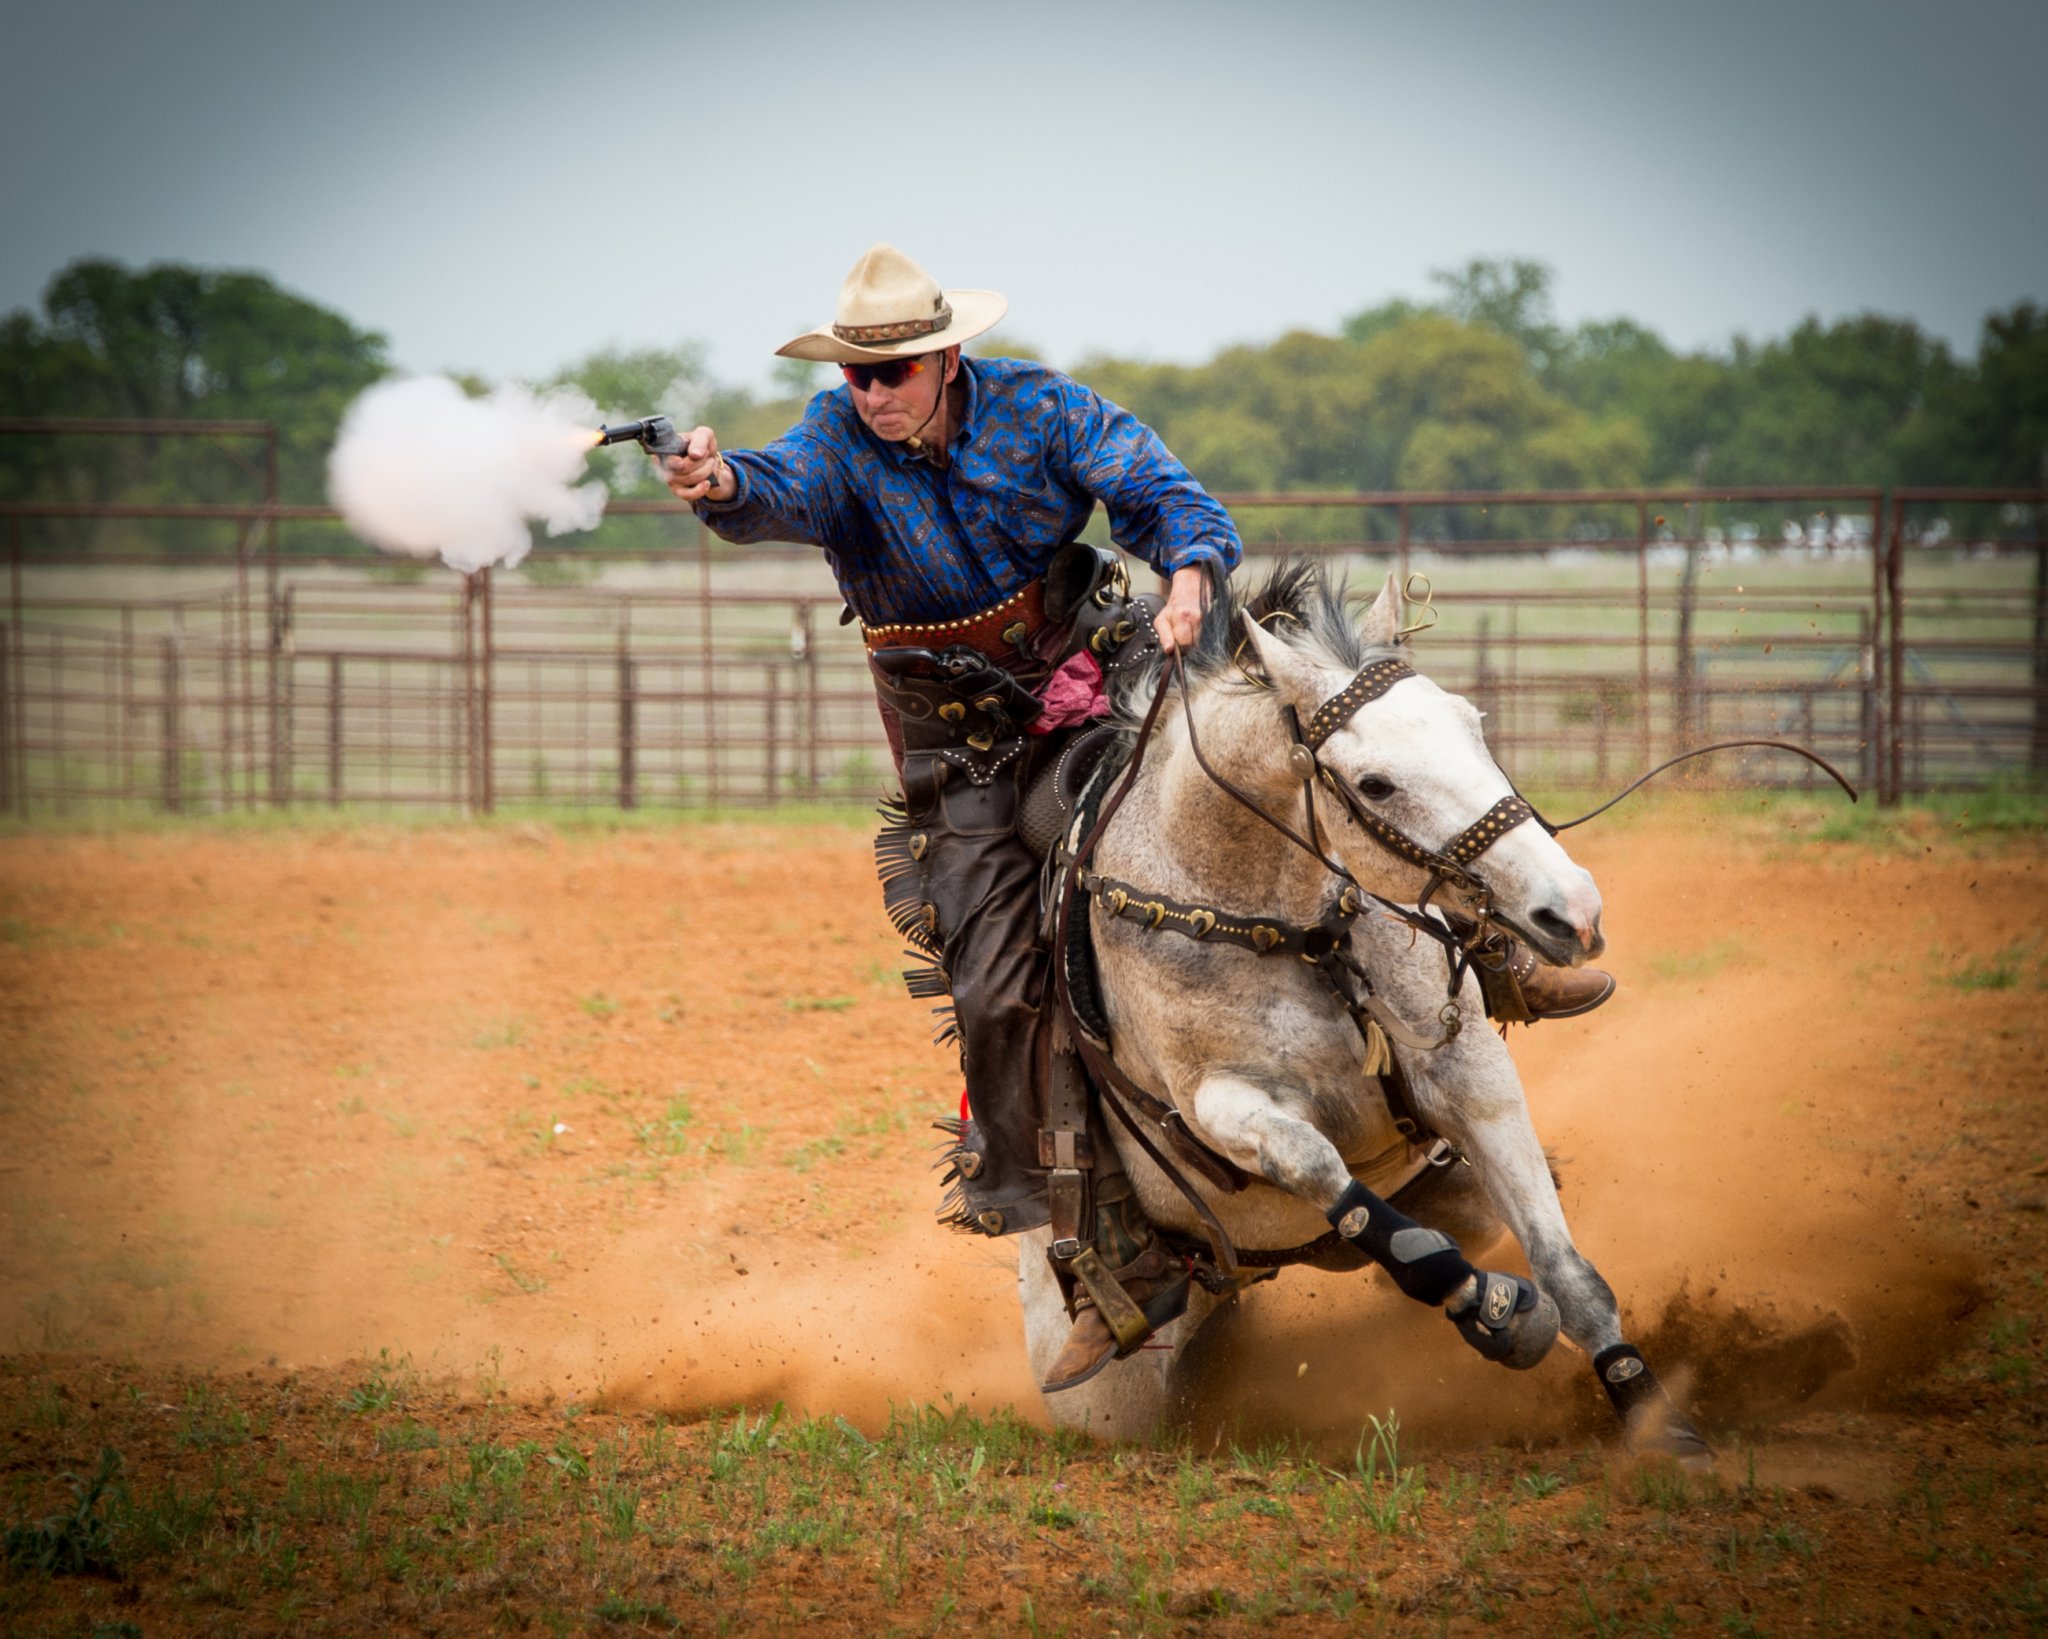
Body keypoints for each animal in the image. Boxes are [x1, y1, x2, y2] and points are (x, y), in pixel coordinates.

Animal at [1024, 565, 1712, 1458]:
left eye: (1473, 725)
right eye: (1377, 782)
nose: (1573, 909)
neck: (1290, 930)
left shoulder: (1471, 1073)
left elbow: (1568, 1270)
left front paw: (1655, 1420)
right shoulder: (1219, 1105)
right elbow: (1329, 1175)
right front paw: (1493, 1309)